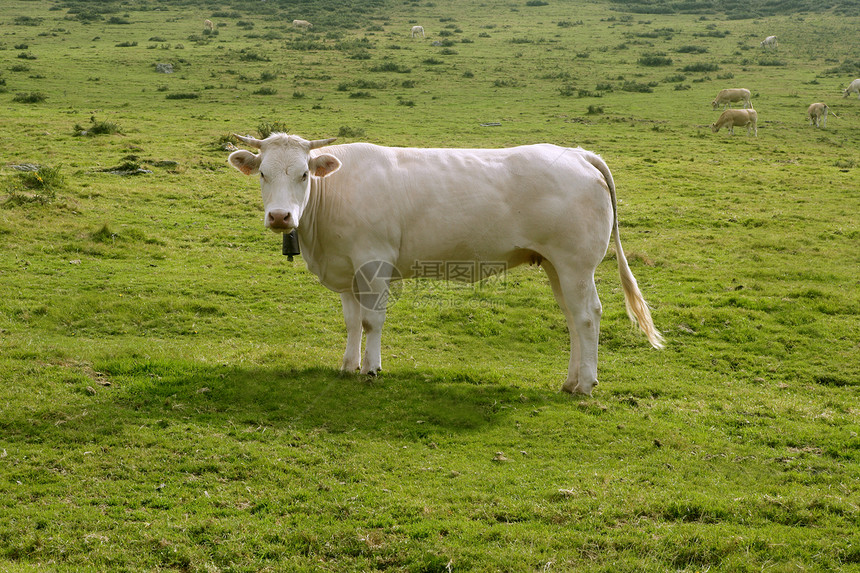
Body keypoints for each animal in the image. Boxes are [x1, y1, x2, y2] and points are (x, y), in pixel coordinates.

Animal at [227, 132, 664, 396]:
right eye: (262, 173)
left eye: (304, 174)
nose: (280, 216)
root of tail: (578, 154)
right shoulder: (347, 269)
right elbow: (352, 322)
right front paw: (348, 365)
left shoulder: (374, 263)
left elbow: (372, 321)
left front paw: (371, 368)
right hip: (557, 266)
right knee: (574, 319)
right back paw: (571, 380)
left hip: (576, 264)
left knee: (588, 316)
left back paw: (585, 383)